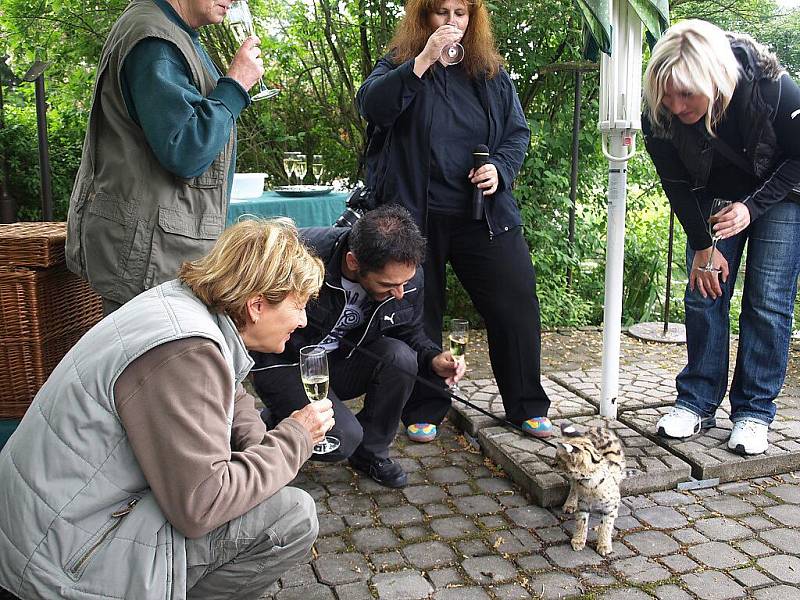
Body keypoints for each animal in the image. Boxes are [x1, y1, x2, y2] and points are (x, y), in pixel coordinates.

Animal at [556, 422, 624, 556]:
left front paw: (604, 544)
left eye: (558, 458)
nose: (553, 463)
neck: (590, 483)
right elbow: (581, 522)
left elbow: (606, 525)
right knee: (573, 487)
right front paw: (578, 540)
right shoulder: (583, 503)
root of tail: (597, 427)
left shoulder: (609, 505)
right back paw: (570, 504)